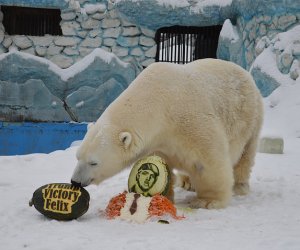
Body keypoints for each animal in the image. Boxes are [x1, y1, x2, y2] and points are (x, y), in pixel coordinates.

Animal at [71, 58, 264, 209]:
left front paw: (208, 201)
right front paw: (164, 195)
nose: (75, 181)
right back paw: (187, 182)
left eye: (93, 162)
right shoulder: (158, 140)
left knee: (245, 154)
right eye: (78, 156)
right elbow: (163, 162)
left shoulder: (190, 119)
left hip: (250, 116)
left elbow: (208, 159)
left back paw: (239, 186)